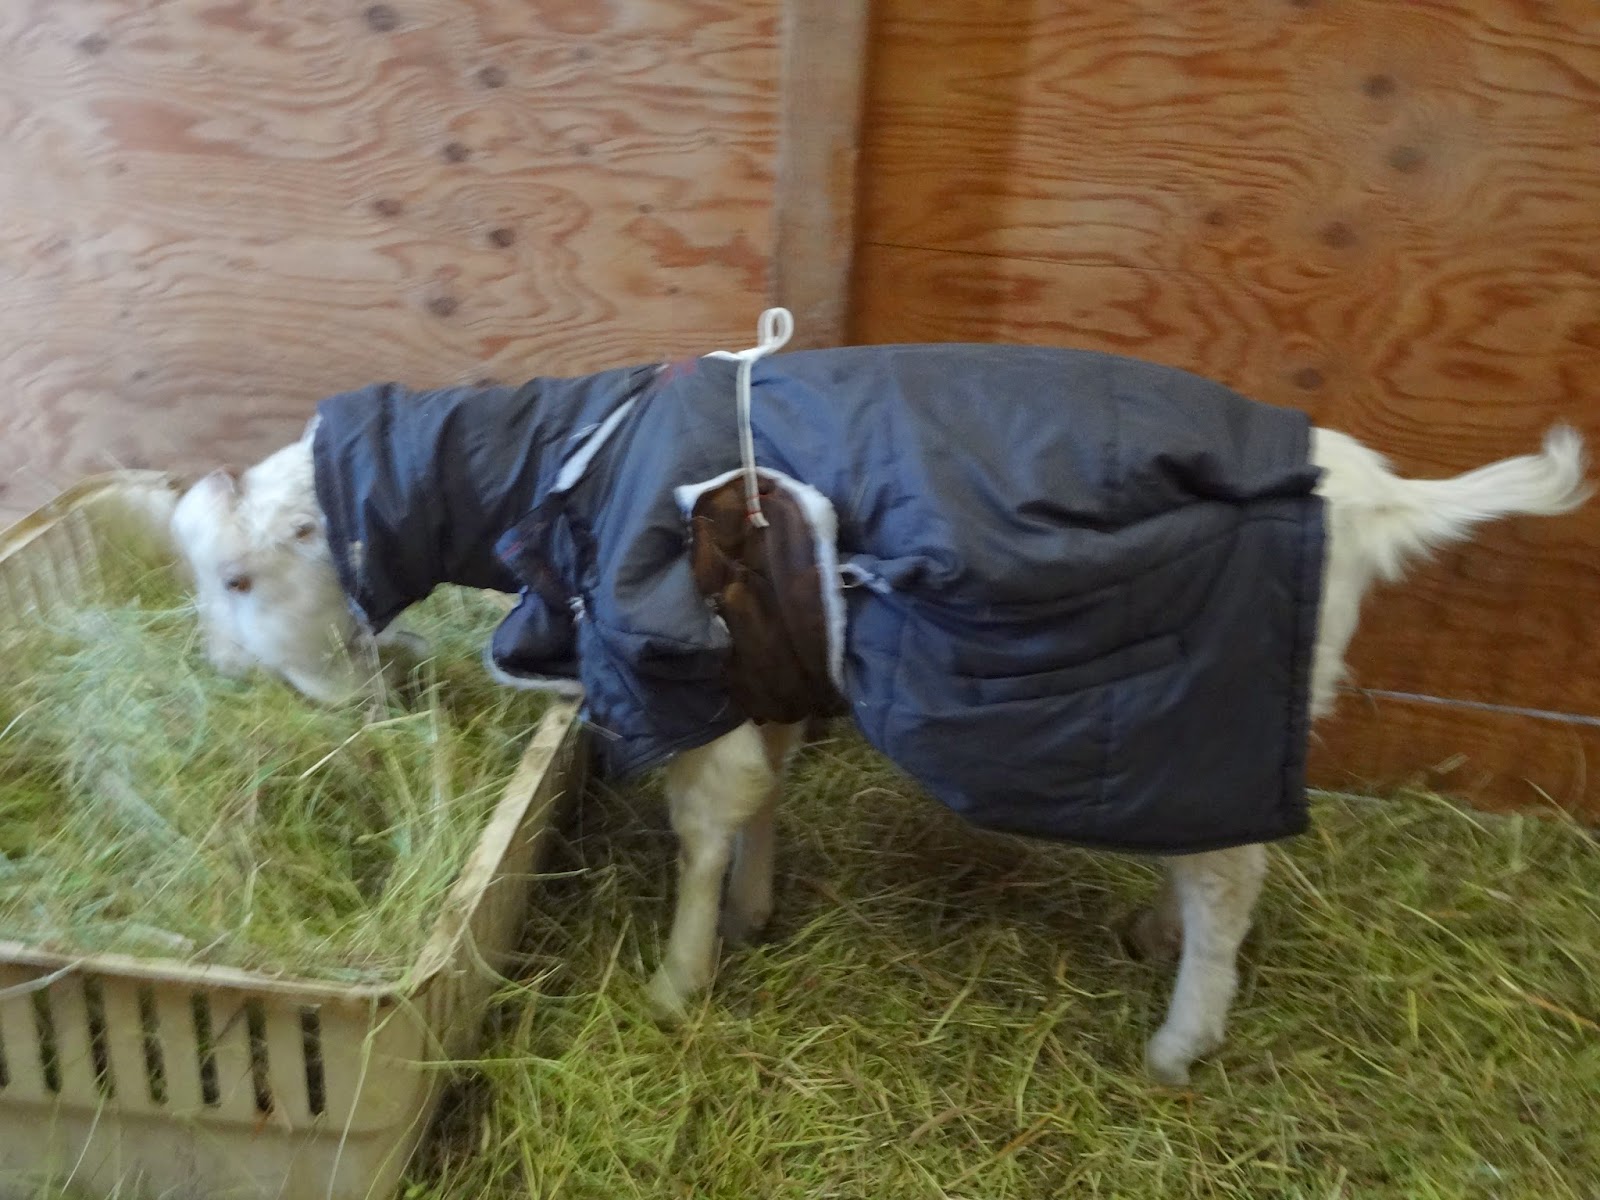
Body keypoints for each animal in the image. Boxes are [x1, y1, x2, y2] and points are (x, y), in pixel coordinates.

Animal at [170, 366, 1587, 1086]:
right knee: (1214, 858)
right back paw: (1156, 934)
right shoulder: (766, 660)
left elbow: (704, 823)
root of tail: (1372, 489)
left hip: (1210, 696)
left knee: (1234, 879)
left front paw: (678, 981)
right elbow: (760, 801)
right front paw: (749, 914)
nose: (223, 682)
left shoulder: (684, 667)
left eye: (238, 577)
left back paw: (1181, 1036)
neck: (572, 455)